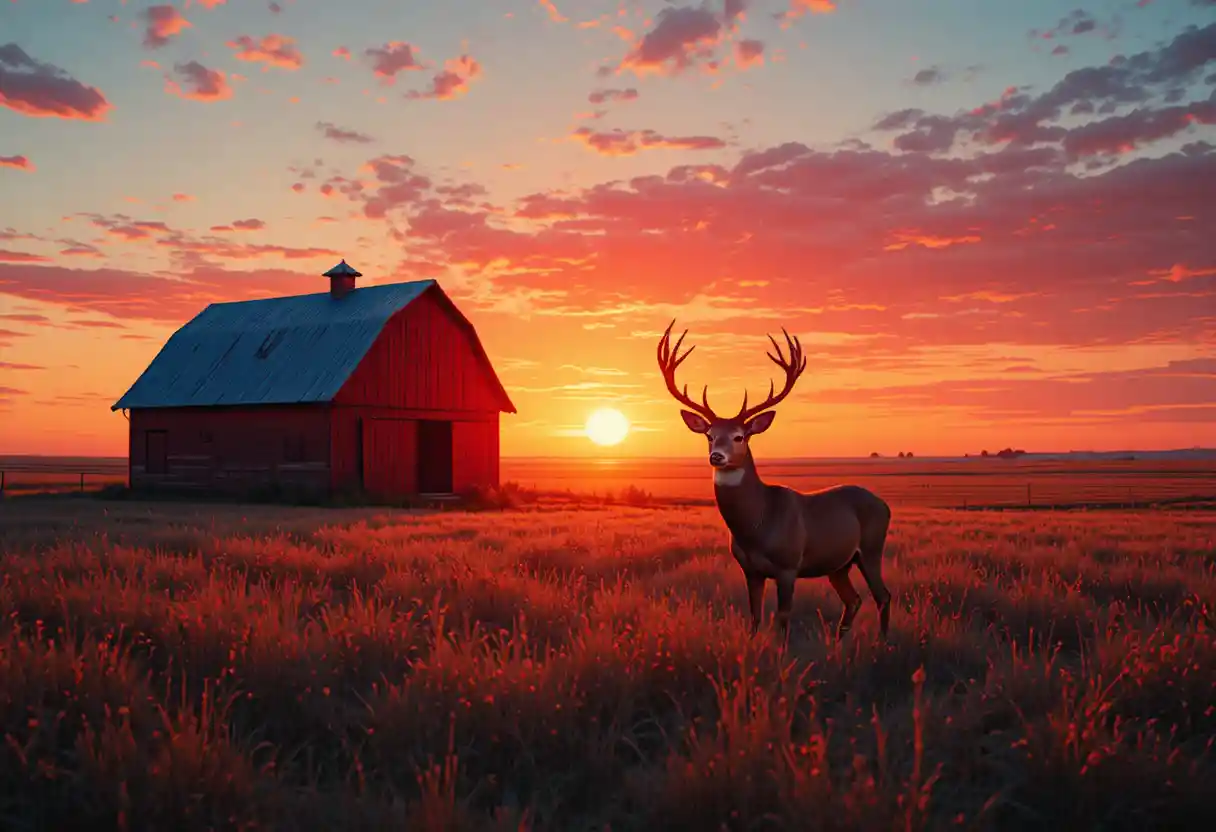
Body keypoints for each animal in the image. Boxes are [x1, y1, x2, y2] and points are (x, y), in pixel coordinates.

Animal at [656, 321, 894, 646]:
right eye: (709, 435)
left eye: (739, 436)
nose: (716, 456)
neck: (758, 522)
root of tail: (884, 505)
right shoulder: (751, 570)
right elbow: (755, 616)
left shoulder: (788, 566)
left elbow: (782, 618)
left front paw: (781, 655)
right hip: (839, 564)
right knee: (854, 599)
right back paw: (838, 645)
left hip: (871, 548)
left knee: (883, 596)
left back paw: (883, 644)